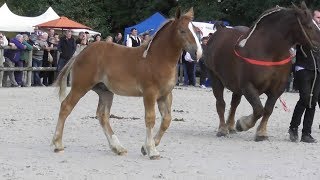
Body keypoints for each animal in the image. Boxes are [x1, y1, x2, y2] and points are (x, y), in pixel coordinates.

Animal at [52, 8, 202, 160]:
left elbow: (166, 120)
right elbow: (150, 119)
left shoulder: (165, 95)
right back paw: (58, 144)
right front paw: (152, 150)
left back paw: (118, 148)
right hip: (80, 87)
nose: (198, 53)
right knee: (66, 106)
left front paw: (145, 148)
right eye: (182, 31)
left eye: (197, 31)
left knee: (102, 116)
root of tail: (80, 53)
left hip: (105, 92)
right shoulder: (150, 93)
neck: (158, 59)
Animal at [205, 2, 320, 141]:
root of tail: (219, 32)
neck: (269, 51)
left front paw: (261, 133)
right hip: (215, 79)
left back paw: (230, 126)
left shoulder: (277, 89)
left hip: (236, 87)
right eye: (309, 26)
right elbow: (259, 109)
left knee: (234, 104)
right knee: (221, 104)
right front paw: (243, 124)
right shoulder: (248, 86)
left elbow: (268, 110)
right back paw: (223, 129)